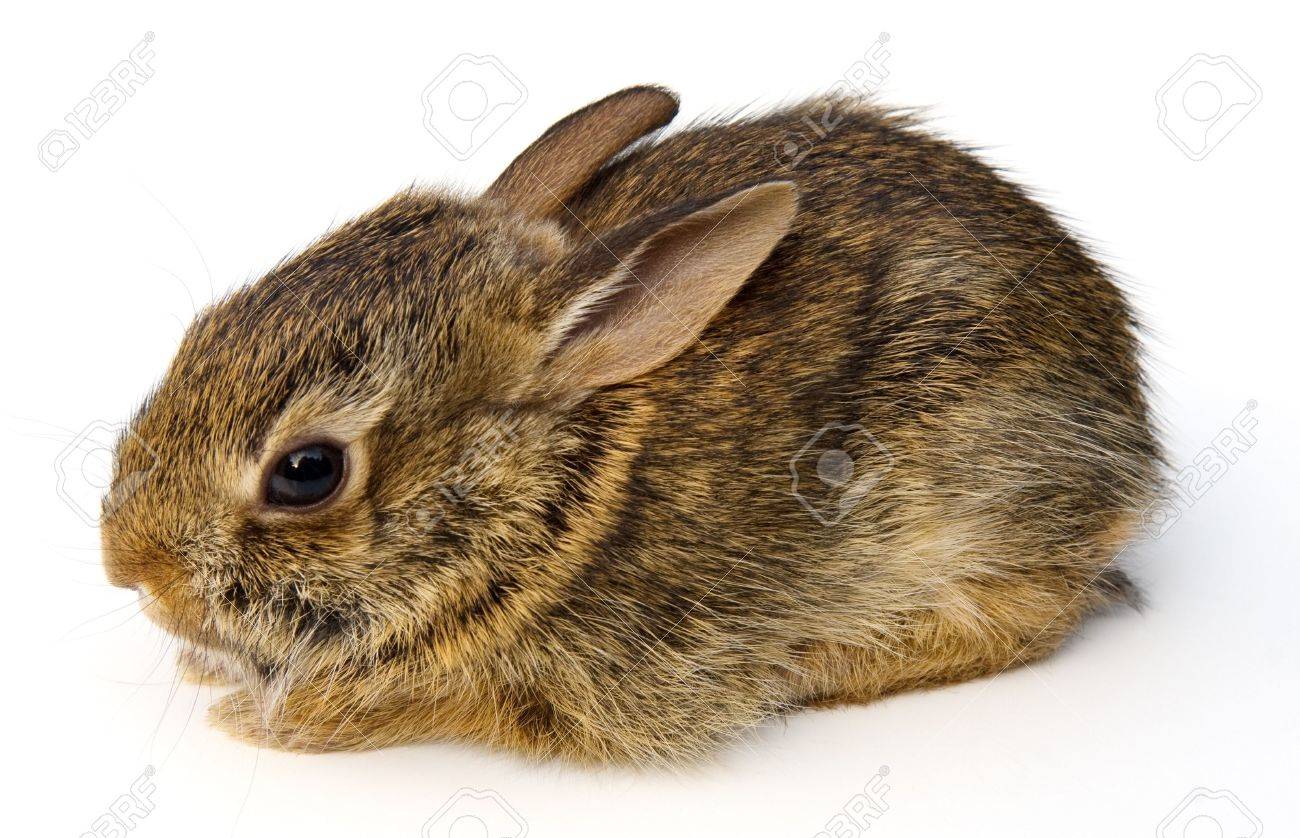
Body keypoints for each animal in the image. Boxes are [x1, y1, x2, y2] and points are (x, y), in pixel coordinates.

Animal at [101, 85, 1161, 765]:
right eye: (204, 332)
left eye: (308, 471)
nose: (129, 571)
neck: (542, 492)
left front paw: (251, 716)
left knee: (1032, 619)